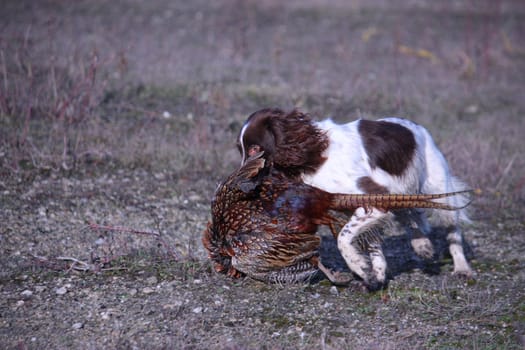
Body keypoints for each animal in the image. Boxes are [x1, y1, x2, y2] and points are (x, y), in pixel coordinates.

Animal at [237, 108, 470, 288]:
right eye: (241, 150)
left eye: (255, 148)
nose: (240, 181)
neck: (315, 157)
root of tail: (418, 127)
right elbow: (372, 244)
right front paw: (375, 275)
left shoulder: (374, 199)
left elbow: (343, 238)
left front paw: (359, 266)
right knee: (410, 217)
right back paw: (422, 245)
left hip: (440, 191)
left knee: (453, 230)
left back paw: (462, 268)